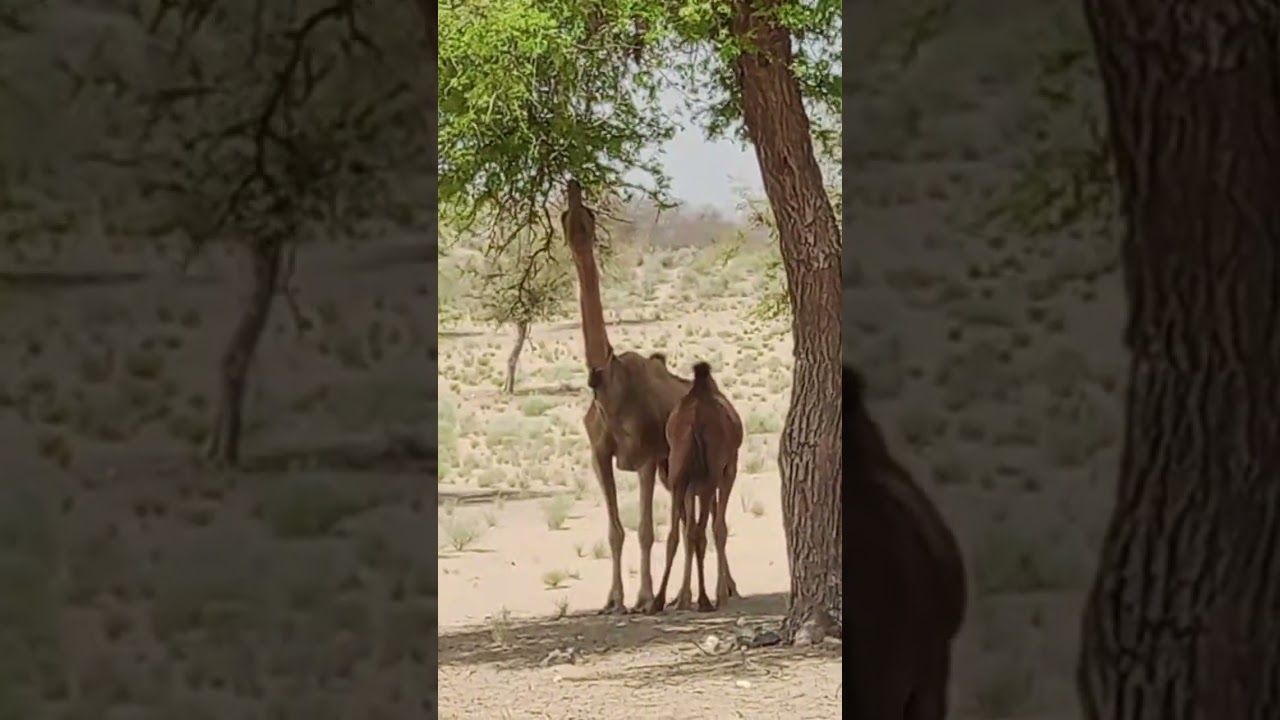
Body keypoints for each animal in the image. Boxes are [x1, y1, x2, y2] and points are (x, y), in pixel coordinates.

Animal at [651, 361, 744, 613]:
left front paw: (682, 598)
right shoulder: (727, 471)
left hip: (679, 477)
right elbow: (718, 528)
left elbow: (688, 531)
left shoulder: (692, 485)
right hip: (711, 475)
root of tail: (695, 419)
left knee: (676, 534)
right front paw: (722, 594)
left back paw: (658, 600)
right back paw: (704, 599)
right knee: (701, 533)